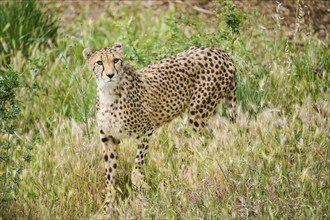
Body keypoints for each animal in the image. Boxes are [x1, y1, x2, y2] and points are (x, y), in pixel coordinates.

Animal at [82, 42, 237, 213]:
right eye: (99, 62)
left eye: (116, 60)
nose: (110, 75)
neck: (109, 93)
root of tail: (220, 51)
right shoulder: (109, 138)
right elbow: (109, 174)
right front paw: (108, 205)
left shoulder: (145, 131)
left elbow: (137, 168)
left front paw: (139, 197)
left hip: (198, 113)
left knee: (210, 141)